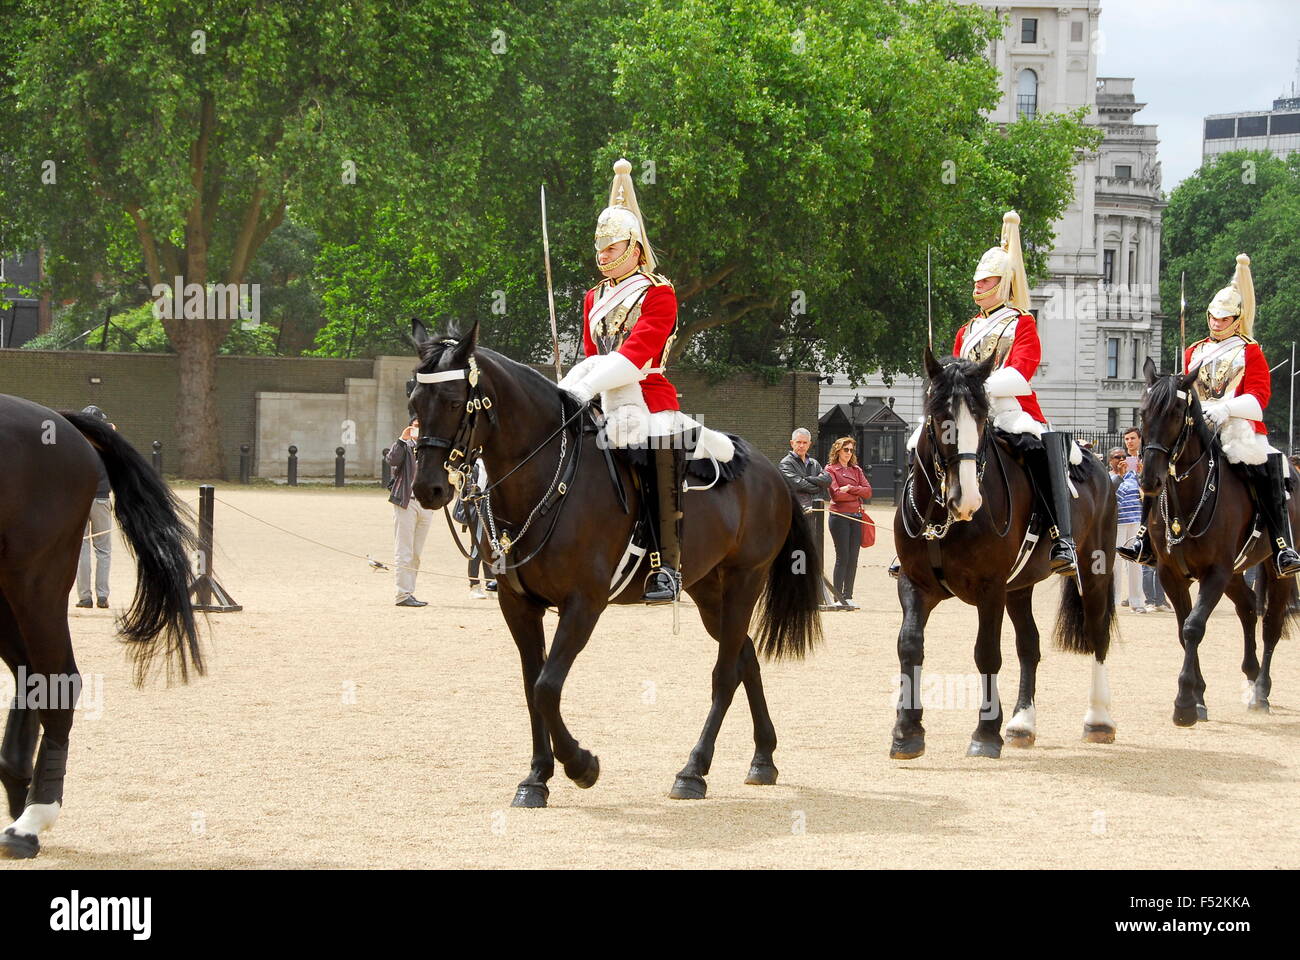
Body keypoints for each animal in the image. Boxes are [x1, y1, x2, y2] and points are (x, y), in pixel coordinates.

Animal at [405, 317, 821, 806]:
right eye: (413, 401)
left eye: (454, 401)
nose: (428, 488)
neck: (547, 478)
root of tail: (771, 470)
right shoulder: (517, 604)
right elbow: (532, 685)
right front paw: (536, 777)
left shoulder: (584, 603)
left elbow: (547, 687)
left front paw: (581, 765)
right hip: (707, 589)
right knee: (745, 658)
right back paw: (763, 758)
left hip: (744, 580)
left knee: (724, 672)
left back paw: (693, 770)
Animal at [894, 348, 1118, 759]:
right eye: (938, 417)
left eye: (982, 419)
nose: (965, 499)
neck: (942, 519)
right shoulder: (916, 583)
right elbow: (910, 645)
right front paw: (907, 731)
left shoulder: (991, 588)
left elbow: (987, 652)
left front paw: (985, 733)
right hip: (1020, 587)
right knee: (1029, 645)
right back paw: (1022, 724)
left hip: (1094, 572)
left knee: (1097, 636)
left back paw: (1098, 719)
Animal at [1133, 356, 1294, 718]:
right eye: (1142, 412)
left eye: (1176, 412)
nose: (1149, 480)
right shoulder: (1171, 574)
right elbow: (1183, 630)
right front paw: (1198, 697)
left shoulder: (1215, 572)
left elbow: (1194, 627)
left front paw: (1184, 704)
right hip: (1236, 572)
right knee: (1248, 606)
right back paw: (1250, 676)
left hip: (1276, 571)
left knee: (1272, 623)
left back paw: (1261, 691)